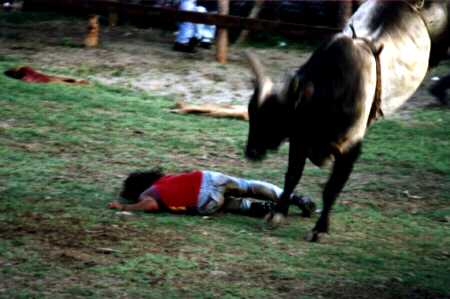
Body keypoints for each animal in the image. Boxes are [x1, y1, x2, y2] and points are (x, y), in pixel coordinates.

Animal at [244, 0, 448, 243]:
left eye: (275, 117)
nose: (250, 152)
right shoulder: (299, 140)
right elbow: (292, 176)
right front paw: (277, 213)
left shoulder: (350, 149)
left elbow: (330, 189)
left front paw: (320, 229)